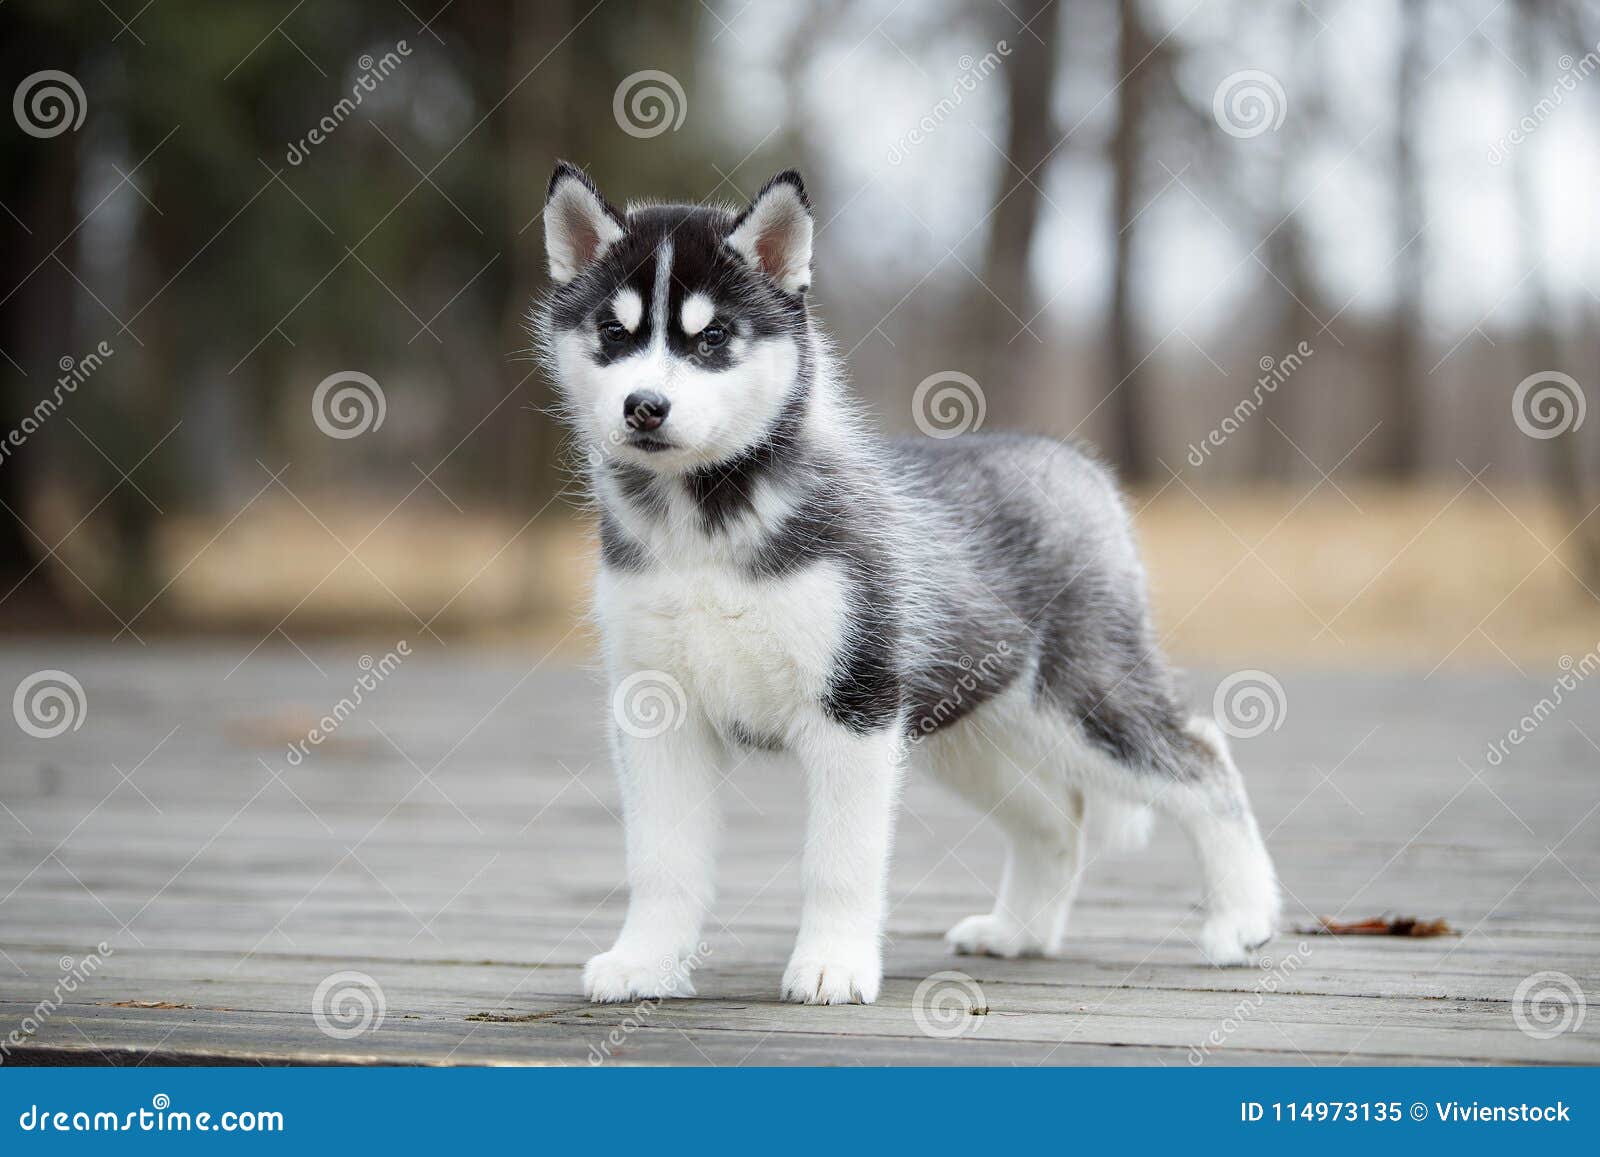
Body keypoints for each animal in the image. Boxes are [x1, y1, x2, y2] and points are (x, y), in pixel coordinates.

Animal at [531, 163, 1280, 1004]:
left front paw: (832, 963)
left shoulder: (855, 707)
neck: (704, 526)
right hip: (968, 728)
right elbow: (661, 860)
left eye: (713, 337)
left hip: (1080, 699)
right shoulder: (656, 708)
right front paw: (645, 962)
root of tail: (1074, 460)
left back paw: (1244, 918)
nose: (644, 407)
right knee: (1056, 816)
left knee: (1204, 759)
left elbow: (840, 861)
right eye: (614, 333)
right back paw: (1019, 930)